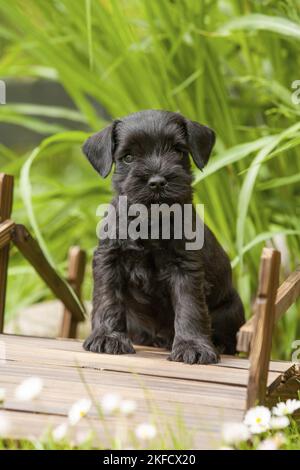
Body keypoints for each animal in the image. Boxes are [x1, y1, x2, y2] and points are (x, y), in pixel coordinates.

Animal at [81, 110, 244, 364]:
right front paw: (108, 337)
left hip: (232, 310)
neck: (149, 223)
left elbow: (190, 307)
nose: (157, 182)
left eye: (177, 151)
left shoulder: (185, 267)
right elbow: (108, 299)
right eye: (128, 157)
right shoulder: (108, 260)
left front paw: (193, 346)